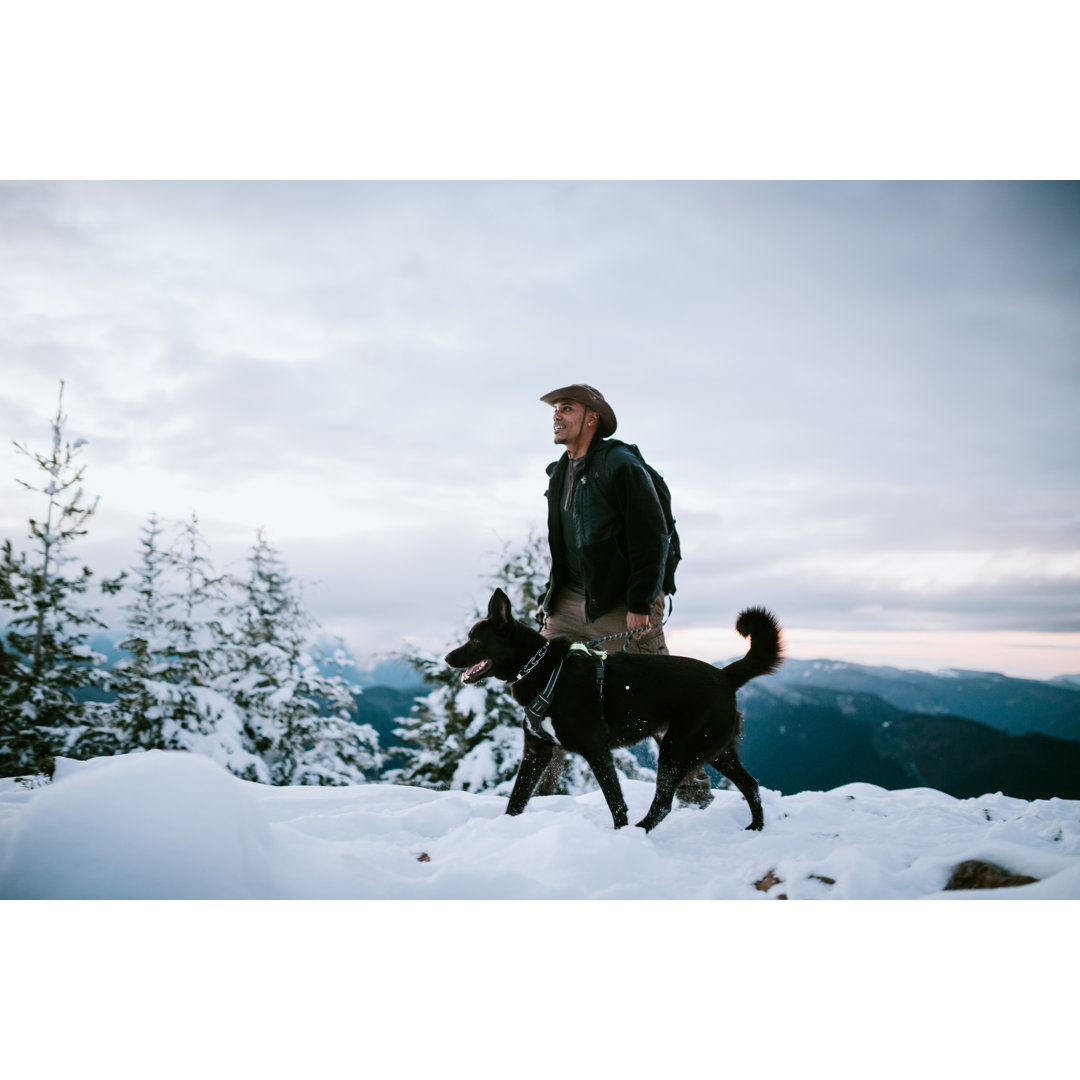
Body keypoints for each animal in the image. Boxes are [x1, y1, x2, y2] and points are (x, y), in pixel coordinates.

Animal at [442, 591, 781, 833]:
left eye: (475, 639)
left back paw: (640, 831)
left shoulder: (596, 749)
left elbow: (614, 799)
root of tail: (725, 675)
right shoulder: (537, 750)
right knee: (750, 784)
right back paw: (756, 826)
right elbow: (517, 797)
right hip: (714, 749)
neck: (540, 668)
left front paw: (620, 832)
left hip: (675, 749)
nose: (446, 658)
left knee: (664, 803)